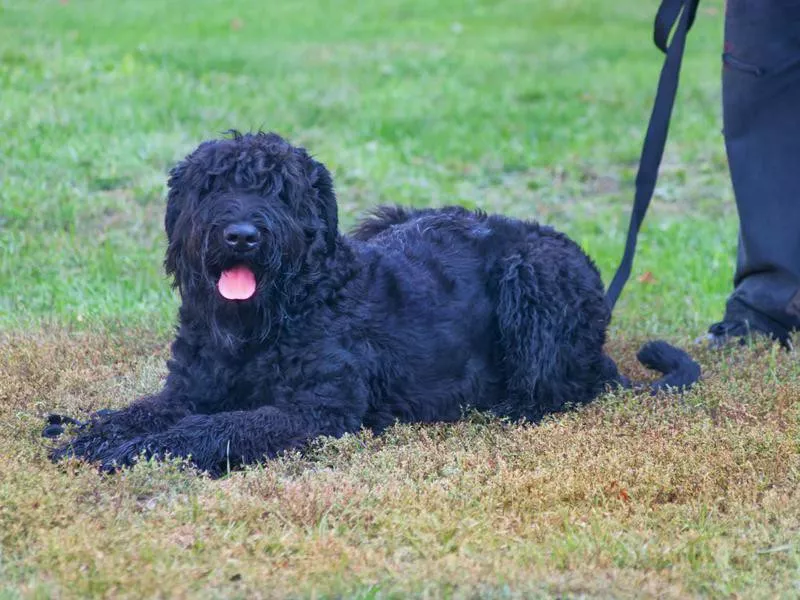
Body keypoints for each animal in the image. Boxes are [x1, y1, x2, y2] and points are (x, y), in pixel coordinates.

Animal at [48, 132, 700, 478]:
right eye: (212, 187)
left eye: (279, 191)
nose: (241, 235)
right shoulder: (188, 389)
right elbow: (148, 411)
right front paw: (96, 431)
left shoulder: (313, 412)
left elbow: (212, 428)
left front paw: (132, 450)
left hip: (532, 276)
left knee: (558, 388)